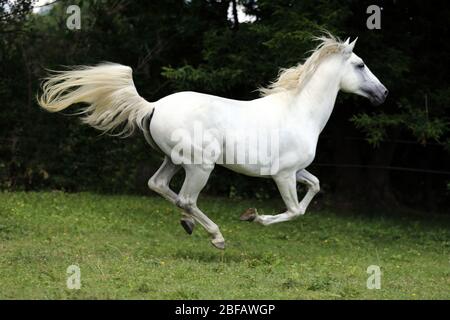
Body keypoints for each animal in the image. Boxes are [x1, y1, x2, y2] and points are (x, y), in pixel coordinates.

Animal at [38, 35, 386, 250]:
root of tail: (153, 106)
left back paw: (188, 224)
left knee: (159, 186)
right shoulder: (283, 175)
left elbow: (314, 187)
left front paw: (253, 215)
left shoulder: (298, 171)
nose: (383, 94)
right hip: (200, 166)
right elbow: (294, 211)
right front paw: (253, 216)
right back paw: (216, 236)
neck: (299, 111)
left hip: (173, 160)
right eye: (360, 65)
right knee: (186, 198)